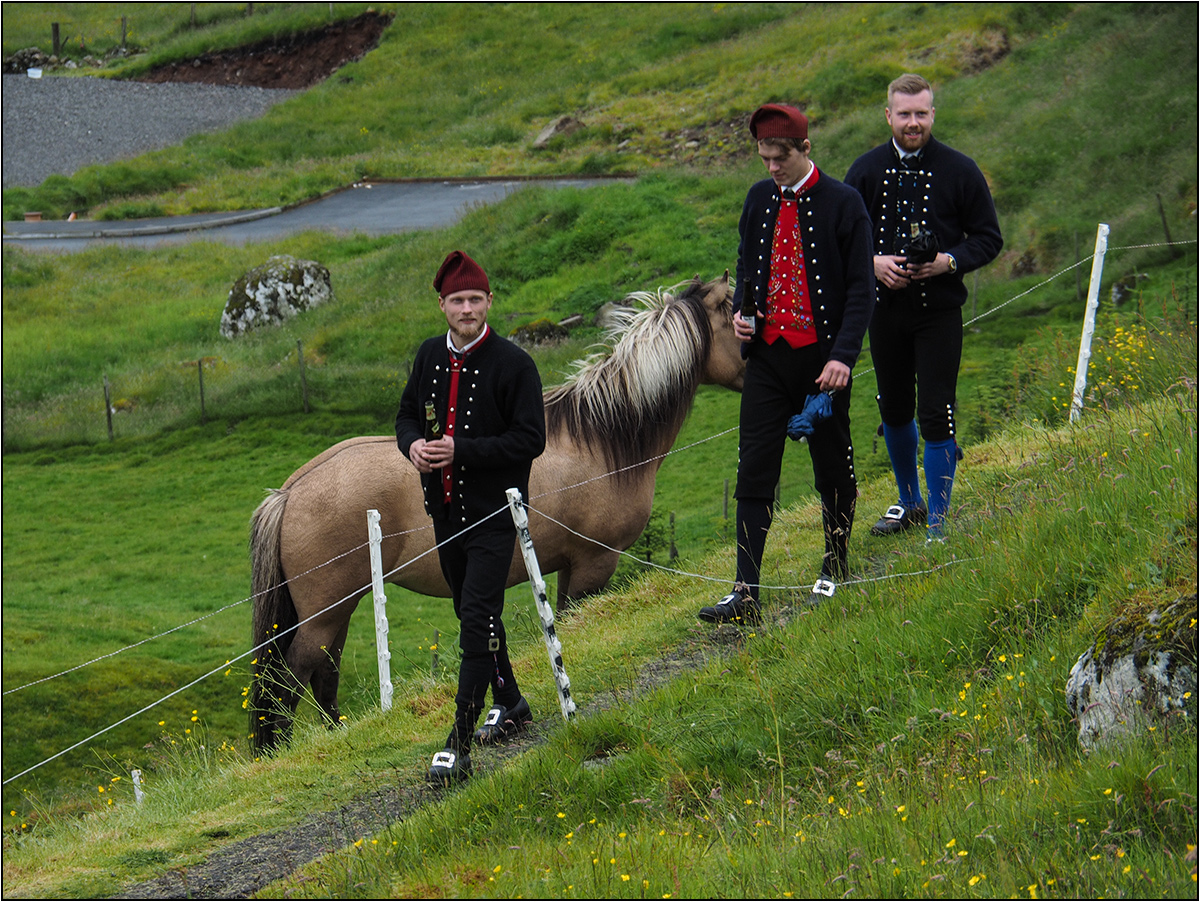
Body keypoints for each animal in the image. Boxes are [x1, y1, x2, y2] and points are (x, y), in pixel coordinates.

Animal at [248, 274, 744, 753]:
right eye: (738, 315)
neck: (601, 438)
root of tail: (289, 492)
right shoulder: (593, 565)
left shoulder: (560, 567)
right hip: (325, 614)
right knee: (289, 680)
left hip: (340, 611)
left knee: (323, 678)